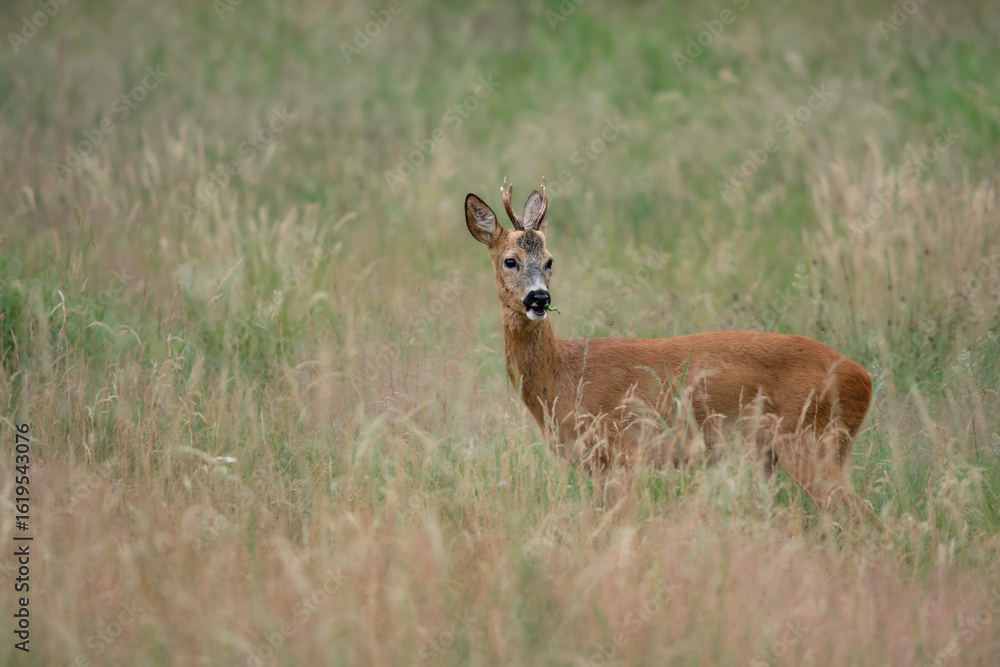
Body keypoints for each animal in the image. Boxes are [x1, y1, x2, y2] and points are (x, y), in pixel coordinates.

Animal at [464, 178, 874, 514]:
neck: (563, 376)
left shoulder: (623, 450)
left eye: (550, 261)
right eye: (510, 261)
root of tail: (864, 378)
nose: (539, 298)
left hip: (813, 440)